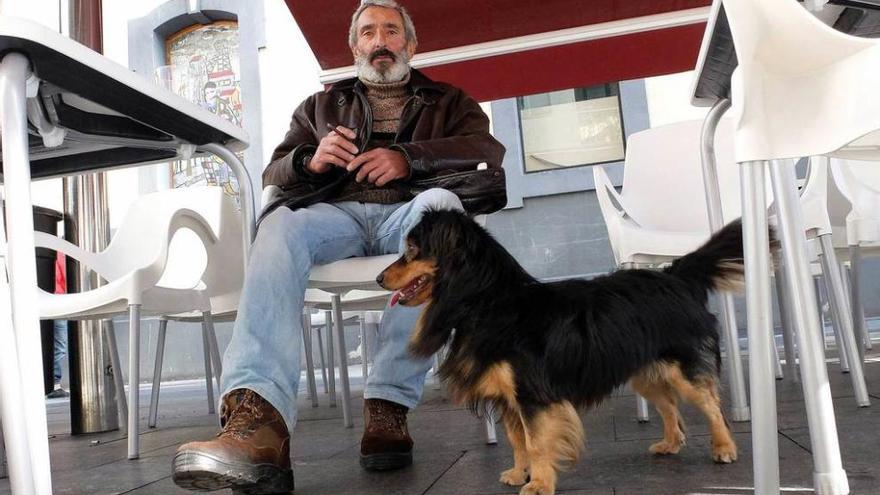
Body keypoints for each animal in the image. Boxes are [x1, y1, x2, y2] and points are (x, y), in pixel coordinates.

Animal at [376, 210, 748, 495]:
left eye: (411, 249)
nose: (378, 278)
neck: (488, 303)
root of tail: (677, 275)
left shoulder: (532, 395)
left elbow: (536, 442)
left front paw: (539, 484)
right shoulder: (510, 399)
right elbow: (517, 440)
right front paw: (519, 474)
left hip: (684, 368)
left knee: (711, 405)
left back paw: (725, 448)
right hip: (646, 372)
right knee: (669, 405)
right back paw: (670, 443)